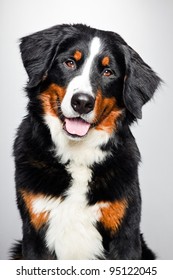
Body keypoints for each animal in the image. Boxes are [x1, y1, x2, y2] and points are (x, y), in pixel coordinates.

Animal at [11, 24, 162, 260]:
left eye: (108, 72)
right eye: (69, 63)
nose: (82, 102)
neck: (77, 156)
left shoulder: (125, 232)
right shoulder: (35, 230)